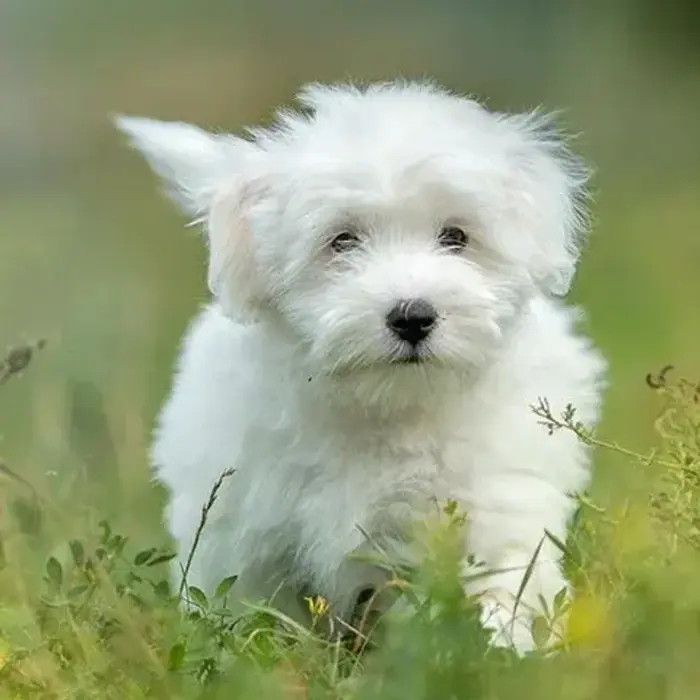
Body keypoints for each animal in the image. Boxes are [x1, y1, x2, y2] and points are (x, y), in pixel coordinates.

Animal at [116, 80, 608, 652]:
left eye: (456, 236)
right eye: (342, 240)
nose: (413, 316)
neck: (386, 409)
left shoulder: (495, 504)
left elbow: (501, 588)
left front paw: (497, 652)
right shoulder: (247, 532)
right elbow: (254, 614)